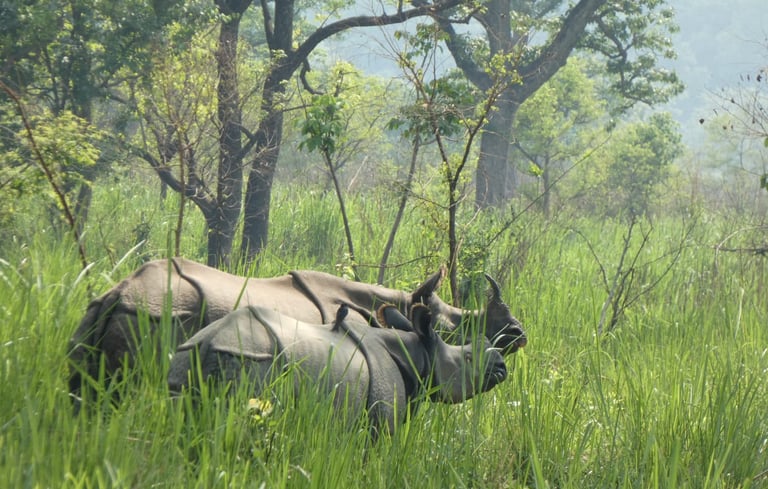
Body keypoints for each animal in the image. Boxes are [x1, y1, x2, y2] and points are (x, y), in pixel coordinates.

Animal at [168, 303, 508, 434]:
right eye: (467, 359)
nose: (501, 365)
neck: (418, 352)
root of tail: (209, 341)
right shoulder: (380, 422)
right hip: (253, 361)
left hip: (187, 356)